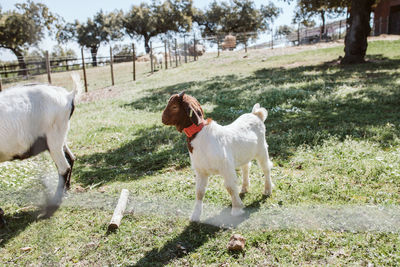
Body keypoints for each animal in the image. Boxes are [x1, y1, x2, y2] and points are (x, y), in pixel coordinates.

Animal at [0, 73, 82, 220]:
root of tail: (68, 96)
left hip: (53, 136)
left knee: (63, 167)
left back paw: (52, 205)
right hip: (60, 137)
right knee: (70, 158)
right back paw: (66, 189)